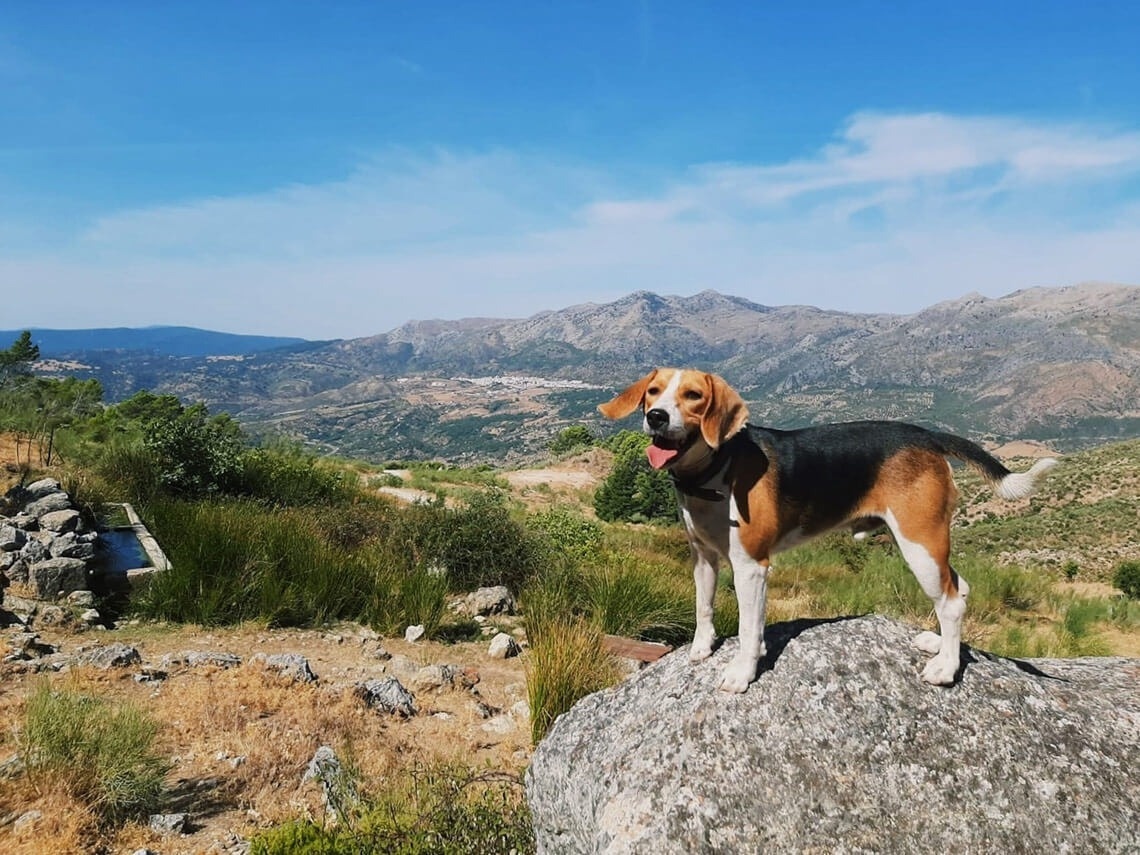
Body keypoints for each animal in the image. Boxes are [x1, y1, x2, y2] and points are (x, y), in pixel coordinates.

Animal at [601, 371, 1053, 693]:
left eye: (693, 396)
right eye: (653, 392)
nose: (656, 416)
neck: (714, 469)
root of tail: (926, 435)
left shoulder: (751, 567)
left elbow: (747, 628)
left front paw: (742, 673)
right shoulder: (704, 556)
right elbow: (704, 607)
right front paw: (701, 647)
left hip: (920, 542)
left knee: (952, 601)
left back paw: (945, 667)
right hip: (927, 544)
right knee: (959, 587)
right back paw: (940, 645)